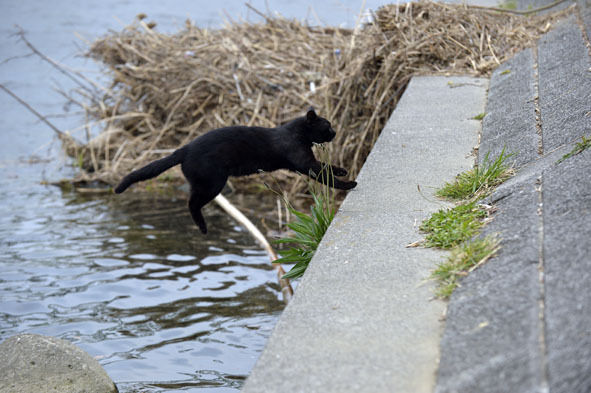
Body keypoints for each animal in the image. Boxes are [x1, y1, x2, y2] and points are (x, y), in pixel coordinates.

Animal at [114, 107, 356, 233]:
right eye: (328, 126)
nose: (335, 133)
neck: (296, 134)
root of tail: (184, 148)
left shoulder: (308, 163)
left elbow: (327, 168)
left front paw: (342, 171)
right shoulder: (305, 164)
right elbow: (326, 175)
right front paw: (349, 183)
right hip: (212, 183)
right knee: (191, 203)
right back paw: (203, 228)